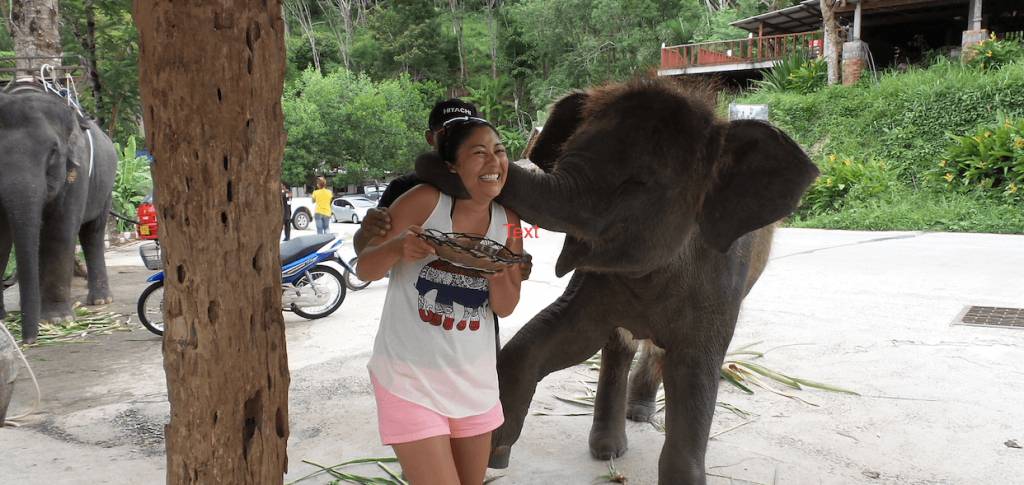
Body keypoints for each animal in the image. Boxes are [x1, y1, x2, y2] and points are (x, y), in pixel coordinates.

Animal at [0, 85, 118, 345]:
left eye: (53, 152)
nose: (28, 341)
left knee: (92, 234)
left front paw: (57, 320)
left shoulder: (77, 169)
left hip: (106, 188)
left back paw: (99, 301)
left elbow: (60, 231)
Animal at [417, 75, 818, 484]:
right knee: (618, 345)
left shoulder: (720, 283)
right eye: (563, 155)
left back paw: (638, 414)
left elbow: (695, 375)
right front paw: (491, 450)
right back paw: (608, 448)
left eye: (641, 183)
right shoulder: (596, 279)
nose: (436, 156)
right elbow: (564, 334)